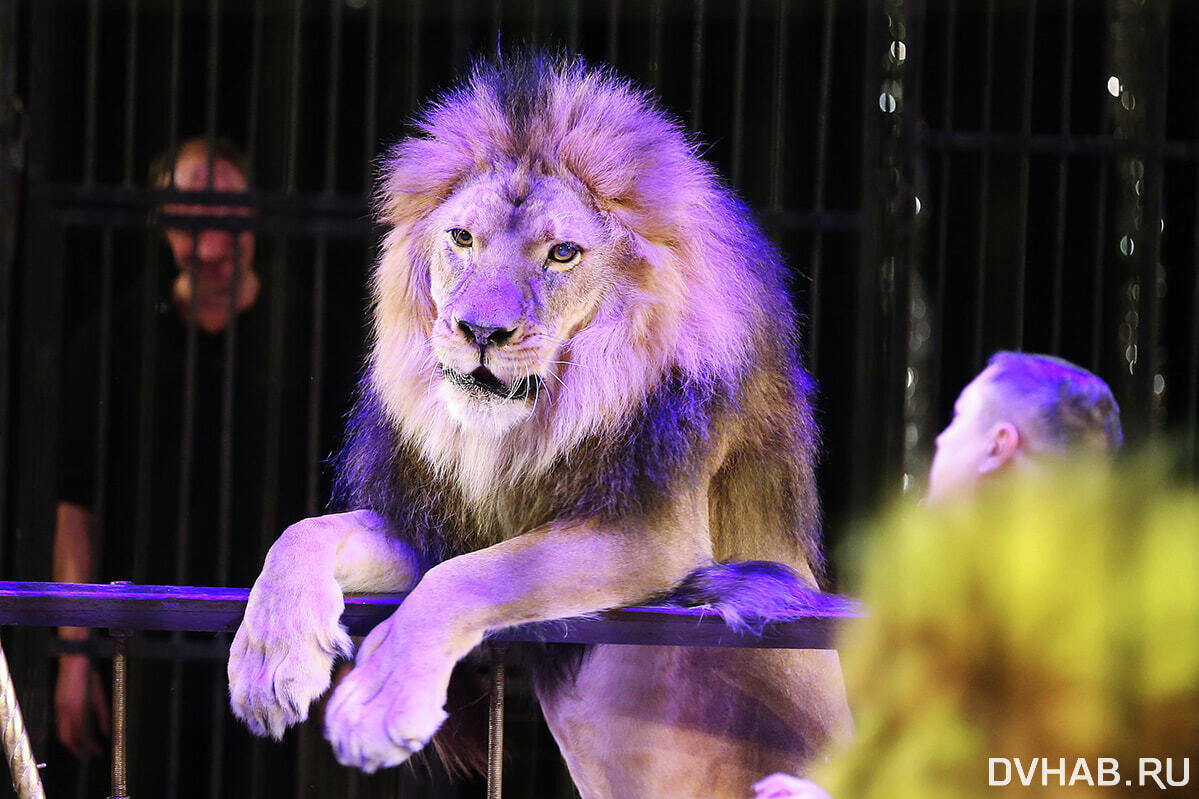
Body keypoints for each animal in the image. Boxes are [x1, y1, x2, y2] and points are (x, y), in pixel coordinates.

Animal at [229, 52, 853, 791]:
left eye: (562, 253)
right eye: (462, 238)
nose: (480, 331)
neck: (526, 432)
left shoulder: (652, 533)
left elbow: (466, 579)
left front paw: (378, 702)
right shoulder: (440, 527)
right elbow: (305, 534)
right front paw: (268, 662)